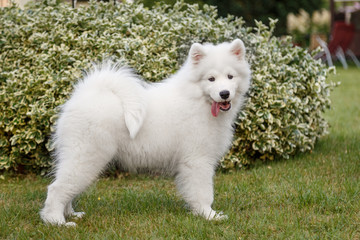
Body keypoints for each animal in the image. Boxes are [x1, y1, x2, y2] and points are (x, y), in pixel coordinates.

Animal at [40, 39, 250, 225]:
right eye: (211, 79)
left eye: (230, 77)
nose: (224, 93)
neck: (197, 100)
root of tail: (85, 94)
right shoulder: (197, 161)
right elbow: (204, 193)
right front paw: (209, 216)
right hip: (86, 157)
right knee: (56, 188)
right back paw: (57, 221)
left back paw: (71, 214)